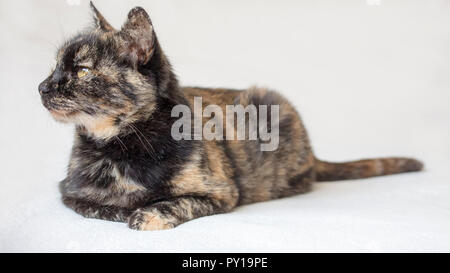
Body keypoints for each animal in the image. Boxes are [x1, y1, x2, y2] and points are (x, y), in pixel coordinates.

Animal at [37, 3, 422, 231]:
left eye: (82, 71)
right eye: (54, 67)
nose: (42, 86)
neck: (120, 146)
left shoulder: (220, 192)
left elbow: (173, 204)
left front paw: (146, 212)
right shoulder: (67, 192)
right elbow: (96, 206)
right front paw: (123, 205)